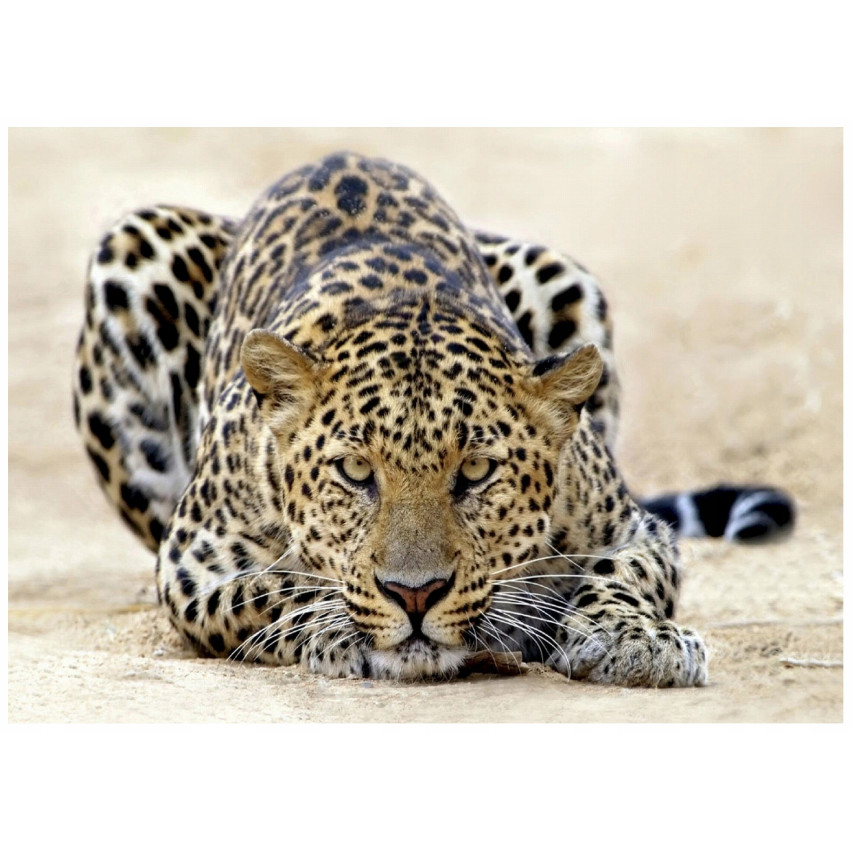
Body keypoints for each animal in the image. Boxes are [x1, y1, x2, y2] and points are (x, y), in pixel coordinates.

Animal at [73, 152, 795, 686]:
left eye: (475, 472)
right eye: (354, 471)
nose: (415, 595)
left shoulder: (633, 529)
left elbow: (625, 577)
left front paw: (633, 637)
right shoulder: (194, 562)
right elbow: (277, 588)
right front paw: (341, 628)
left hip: (561, 273)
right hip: (135, 246)